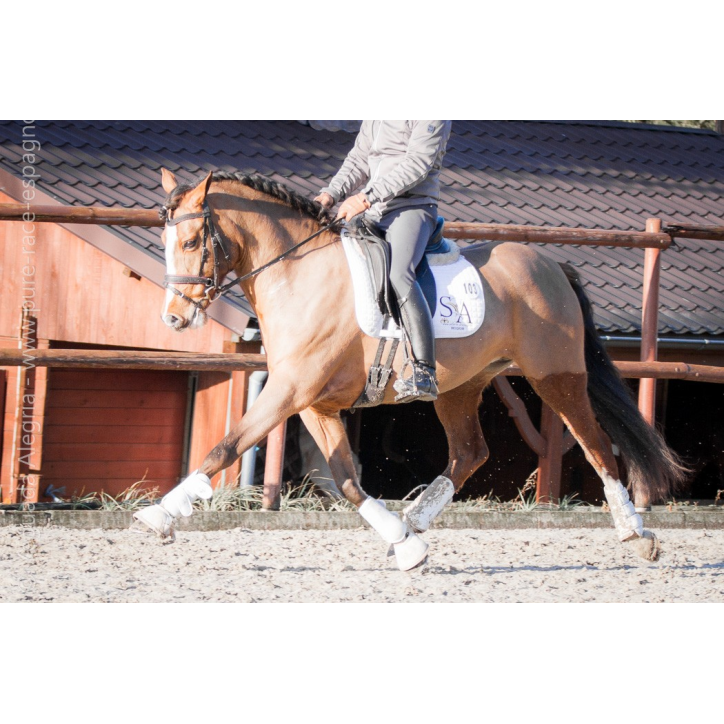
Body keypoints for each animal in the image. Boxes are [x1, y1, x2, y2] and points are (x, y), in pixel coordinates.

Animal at [132, 168, 686, 570]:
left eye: (190, 243)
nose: (174, 319)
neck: (299, 274)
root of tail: (551, 265)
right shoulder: (313, 402)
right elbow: (346, 479)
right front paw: (406, 544)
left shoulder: (289, 390)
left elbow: (225, 447)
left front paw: (158, 516)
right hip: (461, 386)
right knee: (470, 453)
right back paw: (415, 519)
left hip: (557, 377)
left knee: (596, 447)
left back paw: (637, 534)